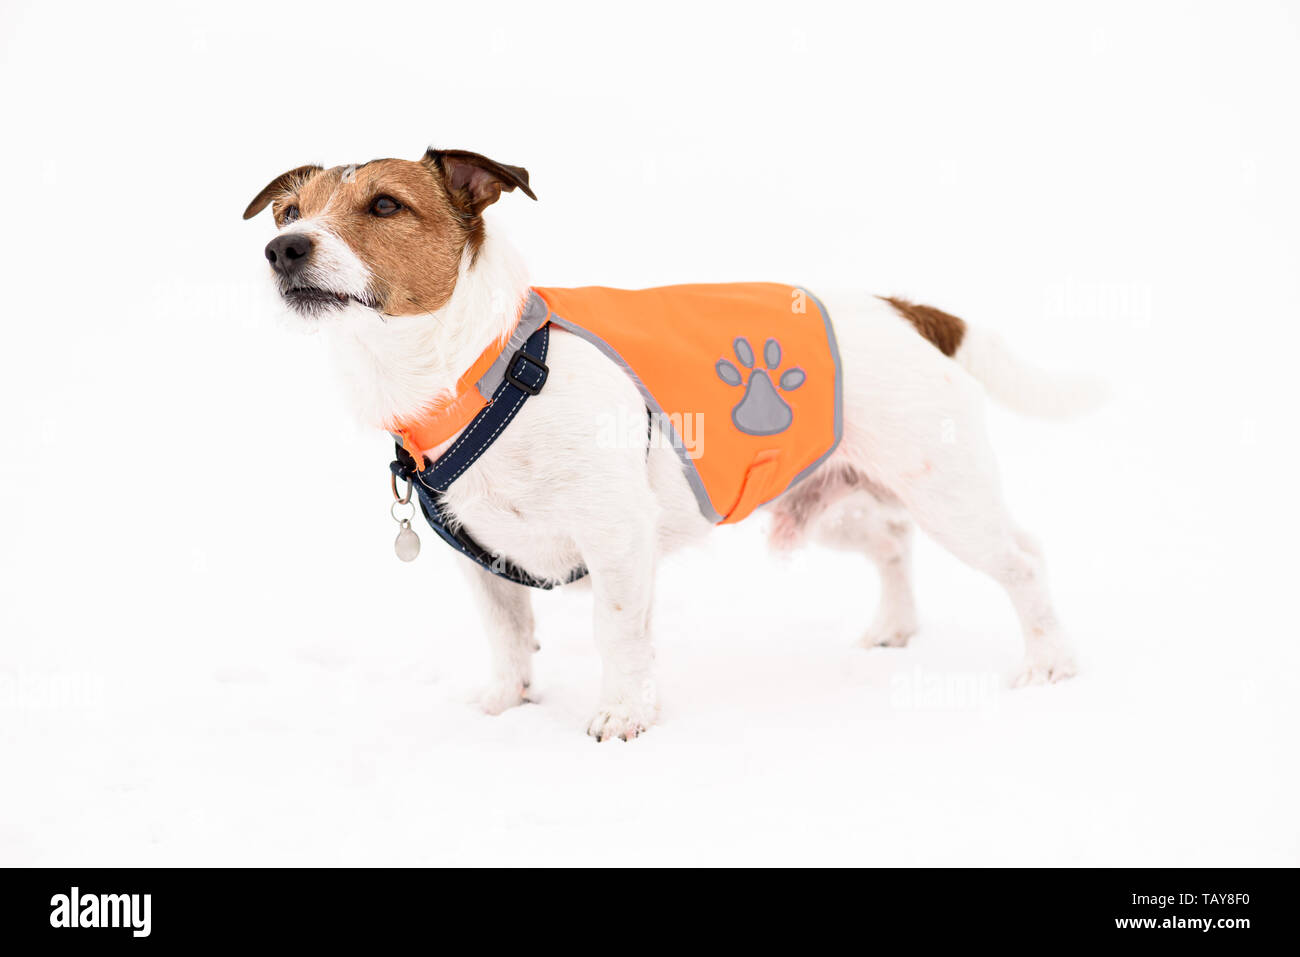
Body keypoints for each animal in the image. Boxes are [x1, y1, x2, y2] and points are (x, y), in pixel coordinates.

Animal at [245, 145, 1097, 738]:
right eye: (289, 209)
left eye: (385, 204)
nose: (283, 249)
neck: (483, 366)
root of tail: (903, 307)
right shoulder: (482, 557)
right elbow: (508, 633)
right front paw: (505, 702)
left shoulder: (619, 537)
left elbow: (617, 630)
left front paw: (624, 713)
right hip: (831, 498)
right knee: (891, 540)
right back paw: (895, 627)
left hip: (948, 492)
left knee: (1023, 559)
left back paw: (1050, 662)